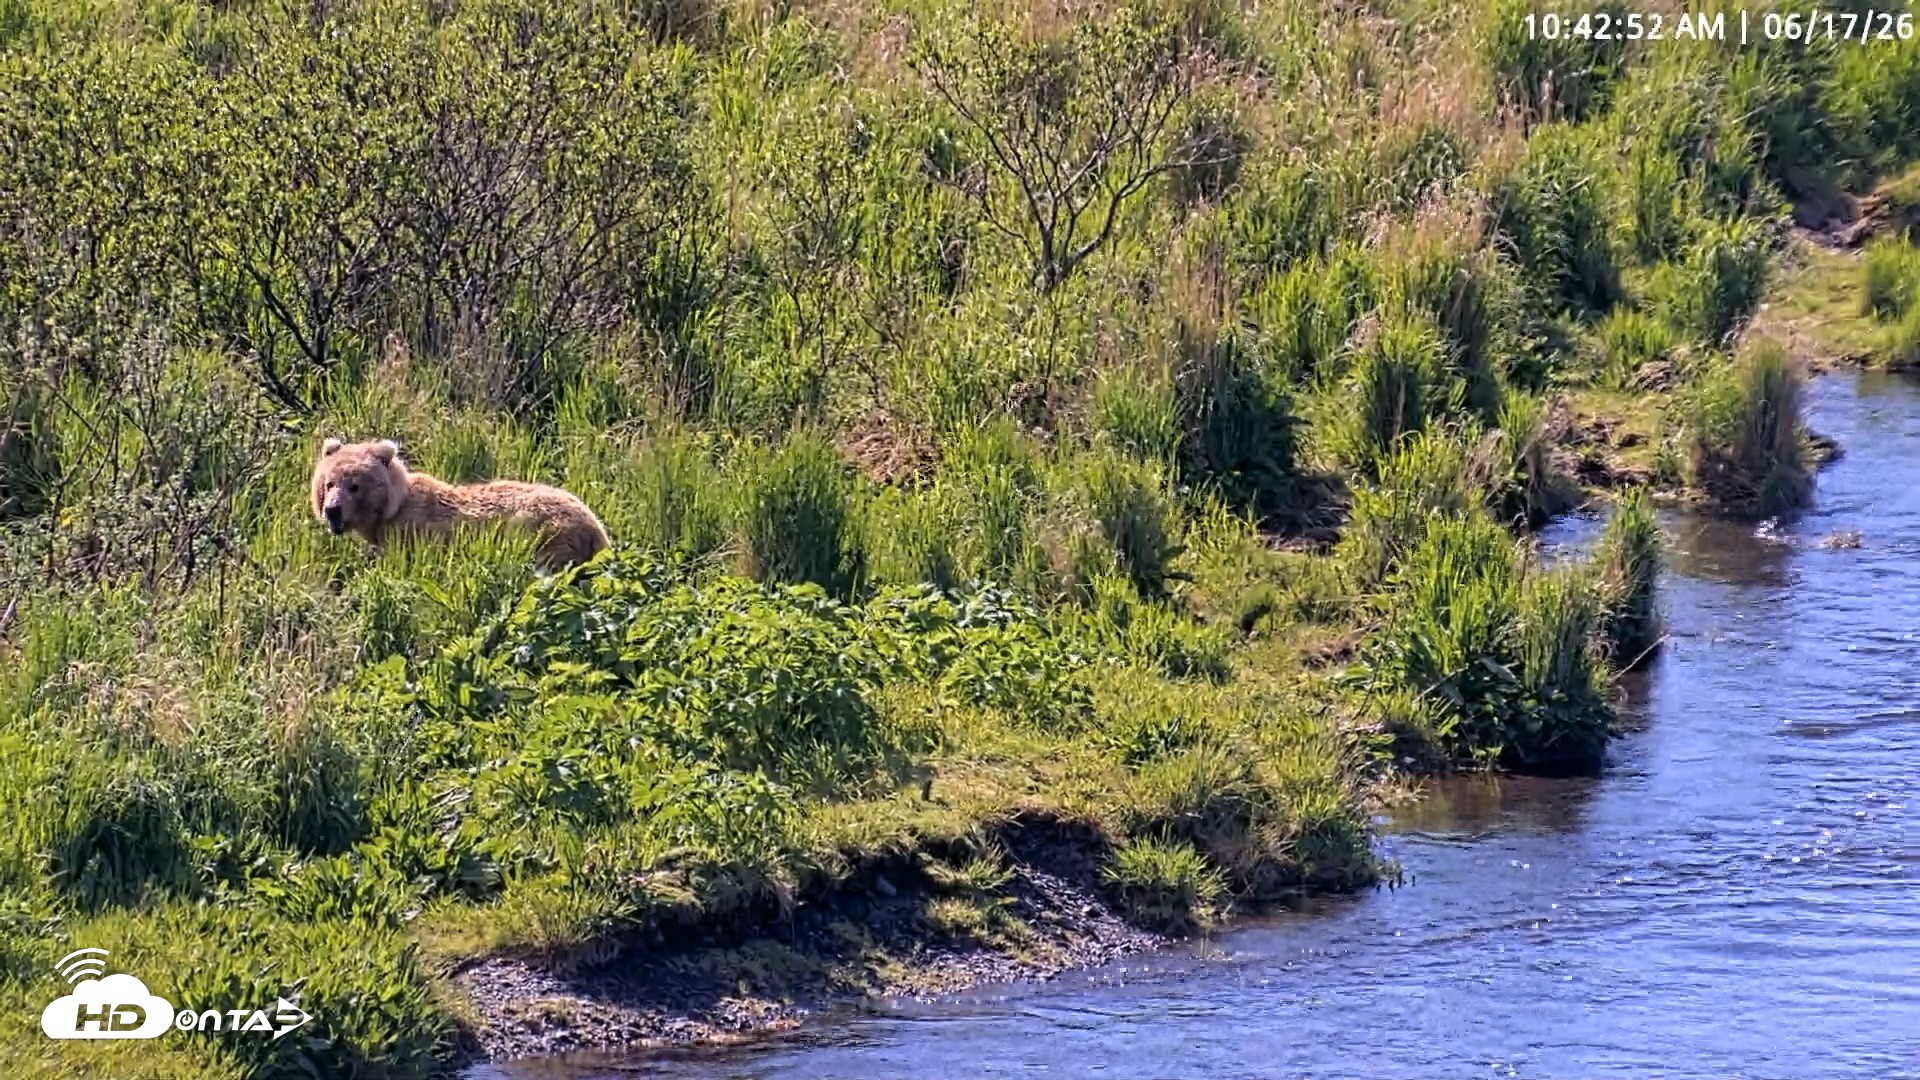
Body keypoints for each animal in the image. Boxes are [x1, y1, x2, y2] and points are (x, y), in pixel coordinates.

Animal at [310, 437, 609, 571]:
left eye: (355, 485)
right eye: (329, 483)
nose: (332, 511)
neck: (391, 509)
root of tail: (598, 530)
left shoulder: (415, 535)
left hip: (547, 534)